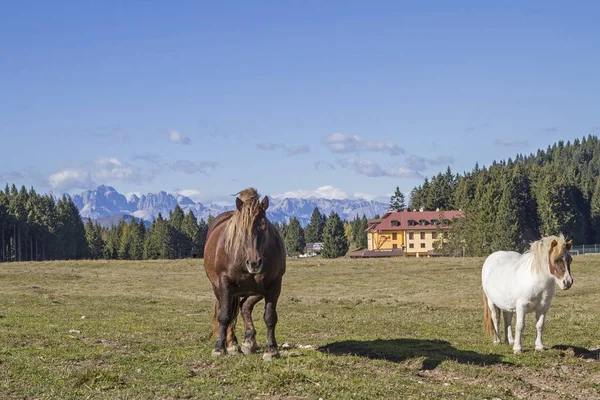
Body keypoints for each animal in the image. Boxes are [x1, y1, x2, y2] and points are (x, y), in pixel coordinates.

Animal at [204, 188, 286, 360]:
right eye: (240, 230)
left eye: (264, 226)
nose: (254, 263)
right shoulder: (225, 283)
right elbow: (224, 315)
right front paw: (219, 348)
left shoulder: (274, 285)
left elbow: (270, 316)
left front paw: (271, 349)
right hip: (220, 289)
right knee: (232, 311)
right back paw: (232, 344)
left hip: (254, 290)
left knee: (244, 306)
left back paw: (247, 341)